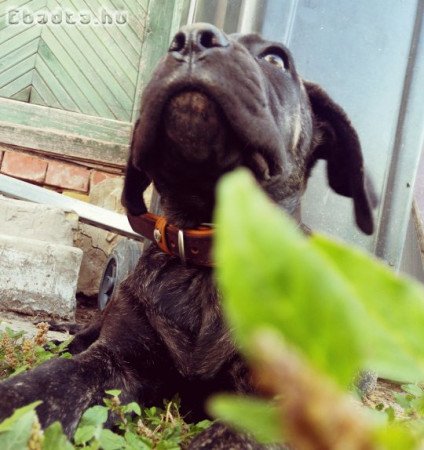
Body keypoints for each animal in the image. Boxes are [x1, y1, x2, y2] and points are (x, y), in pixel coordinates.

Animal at [0, 22, 374, 444]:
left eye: (276, 59)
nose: (192, 38)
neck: (206, 268)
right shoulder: (116, 360)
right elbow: (43, 384)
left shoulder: (292, 401)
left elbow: (231, 438)